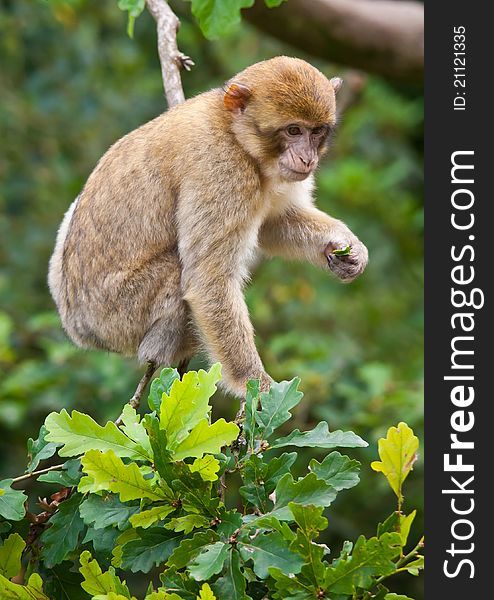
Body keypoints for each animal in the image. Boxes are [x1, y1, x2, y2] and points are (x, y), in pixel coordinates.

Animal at [49, 56, 366, 398]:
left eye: (317, 132)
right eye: (293, 130)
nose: (307, 158)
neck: (233, 132)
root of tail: (77, 327)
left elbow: (272, 224)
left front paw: (344, 245)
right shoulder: (222, 170)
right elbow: (208, 280)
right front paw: (256, 385)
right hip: (117, 316)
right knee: (178, 271)